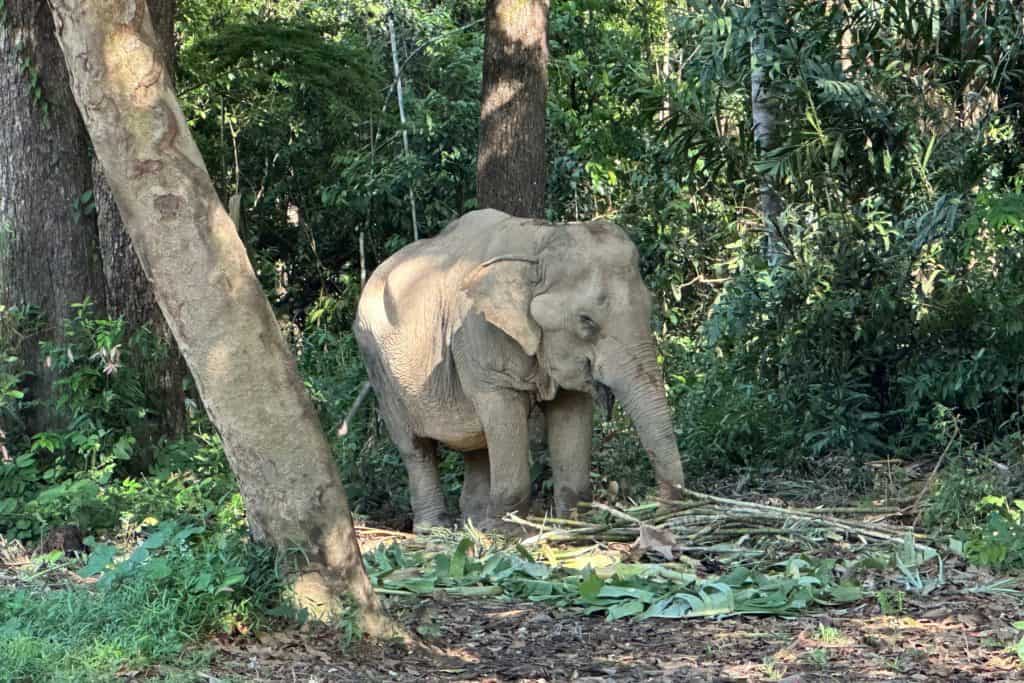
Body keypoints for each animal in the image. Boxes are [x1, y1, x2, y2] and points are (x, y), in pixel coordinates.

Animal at [353, 209, 685, 531]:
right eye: (586, 320)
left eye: (650, 307)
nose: (660, 511)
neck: (539, 242)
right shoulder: (480, 336)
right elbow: (502, 410)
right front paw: (506, 534)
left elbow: (570, 412)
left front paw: (573, 527)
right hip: (378, 366)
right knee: (415, 448)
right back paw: (435, 530)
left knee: (475, 444)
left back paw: (475, 525)